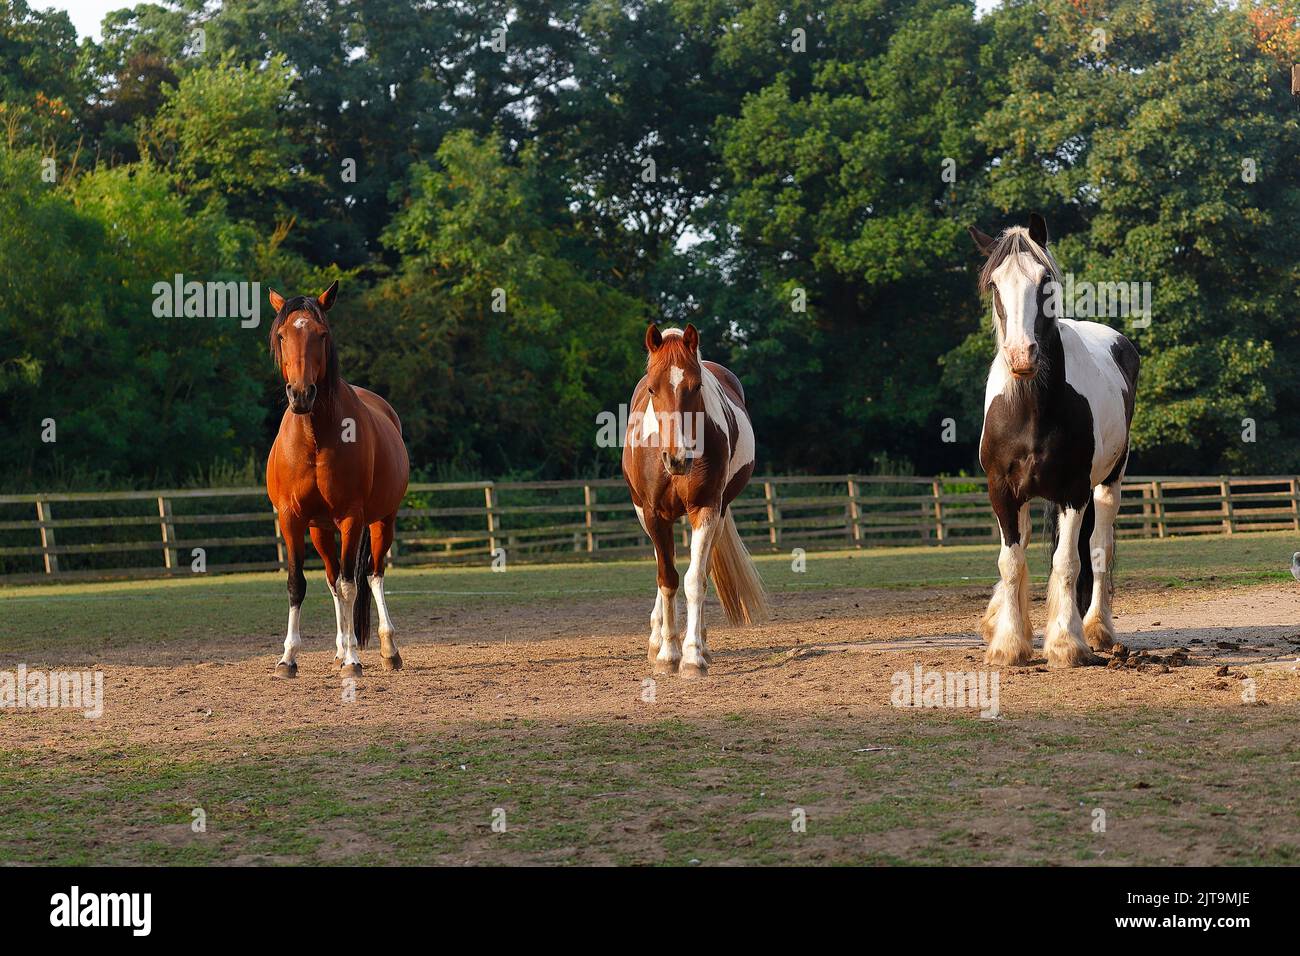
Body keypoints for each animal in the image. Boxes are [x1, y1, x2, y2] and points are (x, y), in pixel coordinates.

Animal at [263, 283, 405, 681]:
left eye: (321, 334)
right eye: (282, 335)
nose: (301, 394)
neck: (315, 437)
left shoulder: (351, 519)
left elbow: (350, 584)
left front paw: (355, 661)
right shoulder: (292, 519)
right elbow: (298, 584)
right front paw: (288, 659)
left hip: (381, 521)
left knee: (371, 576)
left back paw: (387, 650)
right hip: (320, 530)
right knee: (331, 580)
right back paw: (341, 651)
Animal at [621, 325, 764, 676]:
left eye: (696, 386)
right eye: (653, 388)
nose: (677, 458)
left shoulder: (707, 509)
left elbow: (694, 580)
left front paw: (692, 657)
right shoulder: (653, 514)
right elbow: (667, 579)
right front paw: (667, 654)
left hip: (717, 516)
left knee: (702, 570)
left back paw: (701, 644)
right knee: (665, 570)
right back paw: (657, 638)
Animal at [967, 214, 1138, 671]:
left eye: (1045, 281)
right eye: (995, 285)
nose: (1021, 355)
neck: (1031, 411)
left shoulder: (1073, 492)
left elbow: (1067, 561)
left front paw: (1065, 643)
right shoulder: (1002, 491)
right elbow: (1011, 562)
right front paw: (1009, 643)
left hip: (1108, 484)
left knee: (1098, 549)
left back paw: (1096, 628)